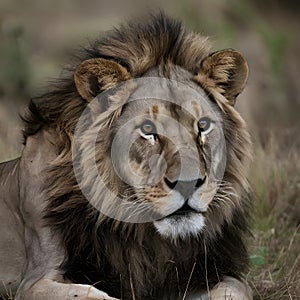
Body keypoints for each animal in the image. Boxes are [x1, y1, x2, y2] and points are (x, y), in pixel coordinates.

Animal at [0, 12, 253, 298]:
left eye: (203, 125)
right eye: (148, 130)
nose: (188, 184)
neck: (142, 235)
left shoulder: (211, 274)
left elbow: (234, 291)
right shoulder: (36, 280)